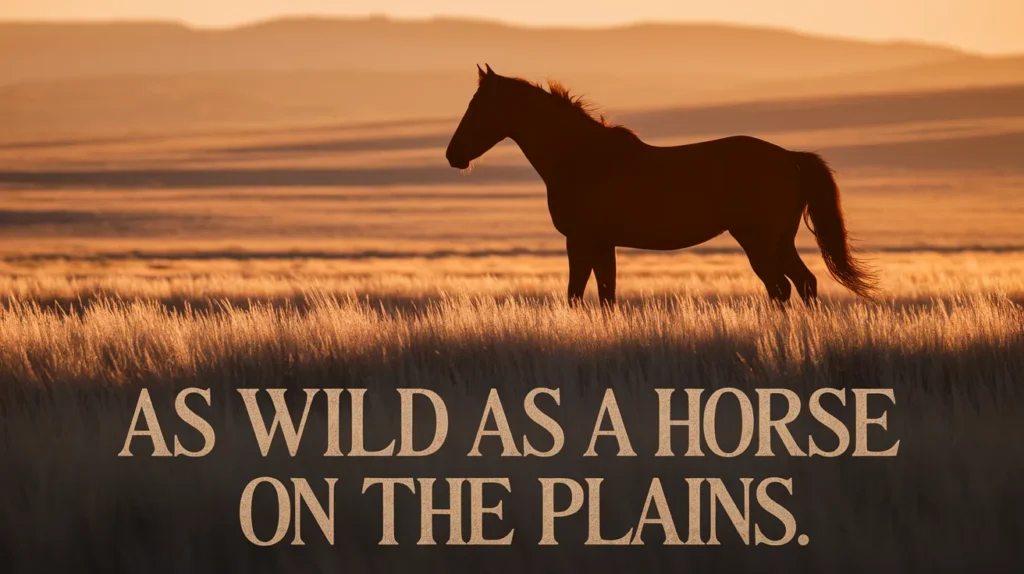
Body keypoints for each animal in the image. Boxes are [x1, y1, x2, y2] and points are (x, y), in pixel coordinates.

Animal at [445, 64, 878, 307]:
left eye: (478, 107)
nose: (453, 155)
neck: (580, 156)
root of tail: (790, 157)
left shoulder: (582, 241)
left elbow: (578, 294)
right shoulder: (602, 244)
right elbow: (605, 296)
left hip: (758, 241)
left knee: (781, 289)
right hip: (780, 241)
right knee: (804, 284)